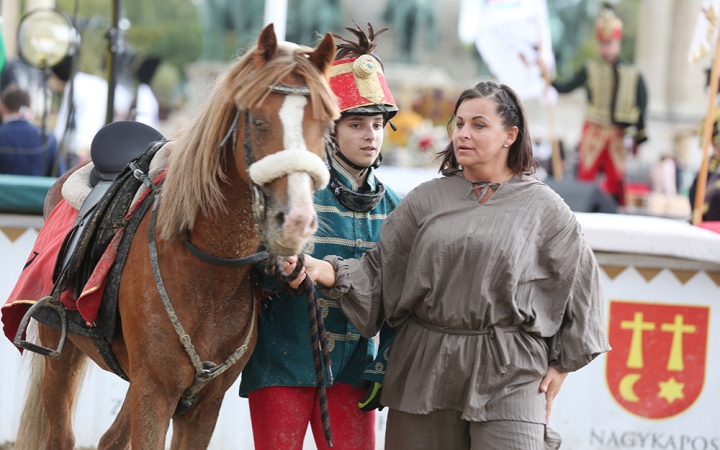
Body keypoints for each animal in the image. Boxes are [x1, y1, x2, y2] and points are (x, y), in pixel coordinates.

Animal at [14, 24, 340, 450]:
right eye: (257, 121)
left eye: (326, 126)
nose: (297, 221)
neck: (207, 272)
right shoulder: (154, 393)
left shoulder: (201, 406)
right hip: (61, 345)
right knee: (62, 434)